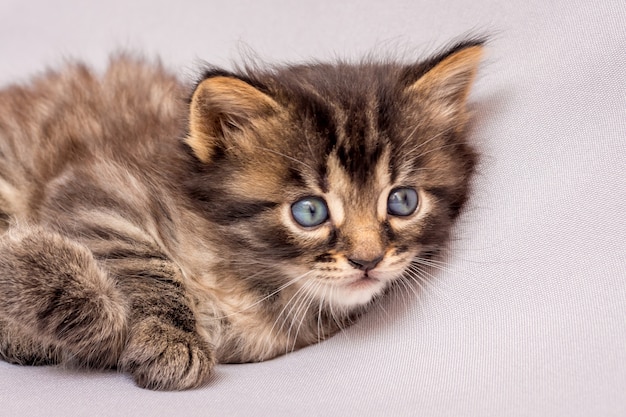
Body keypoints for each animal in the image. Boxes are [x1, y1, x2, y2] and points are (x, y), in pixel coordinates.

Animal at [0, 37, 482, 388]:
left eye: (402, 201)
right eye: (309, 211)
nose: (368, 260)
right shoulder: (100, 188)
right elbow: (146, 268)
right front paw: (168, 337)